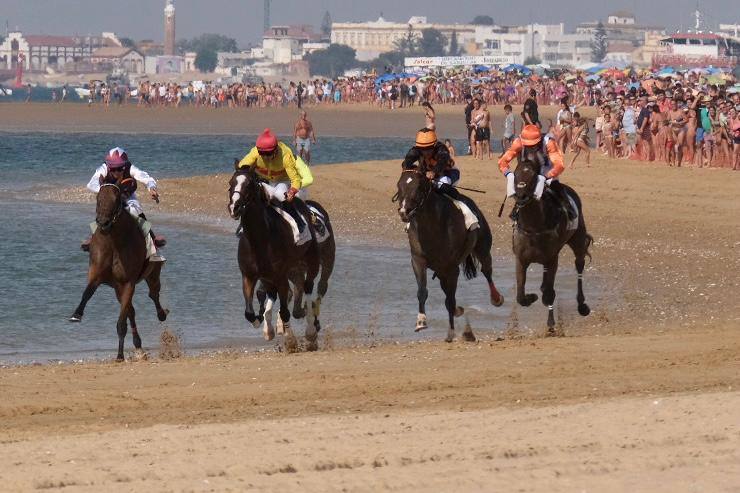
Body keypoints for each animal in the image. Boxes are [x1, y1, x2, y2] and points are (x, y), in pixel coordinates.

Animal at [68, 183, 168, 360]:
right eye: (98, 198)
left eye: (116, 200)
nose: (103, 222)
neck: (114, 242)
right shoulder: (98, 276)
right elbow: (87, 292)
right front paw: (76, 314)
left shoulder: (128, 282)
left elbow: (121, 322)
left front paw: (120, 355)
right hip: (118, 288)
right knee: (131, 310)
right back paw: (138, 344)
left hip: (152, 274)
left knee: (153, 294)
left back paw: (161, 314)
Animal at [225, 165, 330, 350]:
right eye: (231, 183)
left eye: (249, 185)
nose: (234, 207)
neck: (259, 239)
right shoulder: (249, 275)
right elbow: (249, 313)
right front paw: (262, 323)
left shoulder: (280, 275)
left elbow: (285, 310)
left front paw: (290, 340)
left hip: (312, 261)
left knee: (308, 288)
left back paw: (310, 332)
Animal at [396, 169, 506, 342]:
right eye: (398, 185)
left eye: (419, 187)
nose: (403, 212)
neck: (432, 226)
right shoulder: (418, 260)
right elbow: (422, 291)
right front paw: (421, 322)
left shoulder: (452, 267)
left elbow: (450, 299)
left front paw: (451, 332)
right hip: (441, 270)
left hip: (482, 248)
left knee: (487, 271)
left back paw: (496, 298)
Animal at [512, 160, 592, 332]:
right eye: (515, 174)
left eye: (533, 176)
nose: (521, 197)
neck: (533, 227)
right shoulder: (521, 260)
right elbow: (520, 296)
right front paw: (532, 297)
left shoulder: (552, 258)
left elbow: (550, 293)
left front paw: (551, 324)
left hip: (577, 240)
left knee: (579, 265)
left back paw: (582, 305)